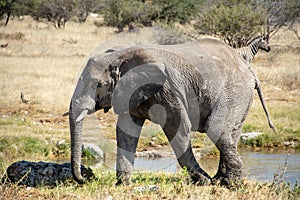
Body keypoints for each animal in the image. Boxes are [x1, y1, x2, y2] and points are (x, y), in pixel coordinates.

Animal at [70, 38, 272, 186]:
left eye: (97, 84)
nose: (85, 178)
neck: (121, 56)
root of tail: (248, 68)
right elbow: (126, 131)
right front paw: (123, 185)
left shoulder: (166, 90)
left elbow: (178, 127)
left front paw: (204, 181)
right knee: (229, 134)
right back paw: (221, 180)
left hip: (235, 92)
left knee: (216, 130)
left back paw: (230, 183)